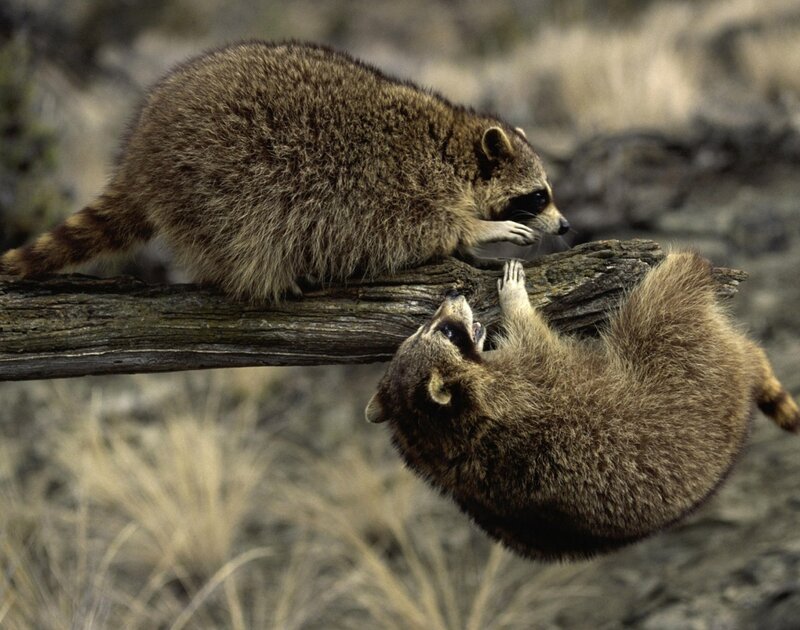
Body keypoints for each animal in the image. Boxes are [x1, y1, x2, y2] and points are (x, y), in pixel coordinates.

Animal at [0, 41, 568, 301]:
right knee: (244, 231)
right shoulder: (396, 186)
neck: (453, 148)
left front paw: (472, 245)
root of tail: (141, 154)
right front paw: (479, 229)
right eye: (539, 196)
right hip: (216, 177)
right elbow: (416, 228)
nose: (565, 225)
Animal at [366, 255, 799, 560]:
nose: (452, 296)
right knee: (657, 309)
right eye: (446, 332)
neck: (435, 434)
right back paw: (683, 266)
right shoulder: (527, 381)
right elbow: (533, 335)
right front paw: (515, 302)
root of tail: (742, 379)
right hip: (690, 368)